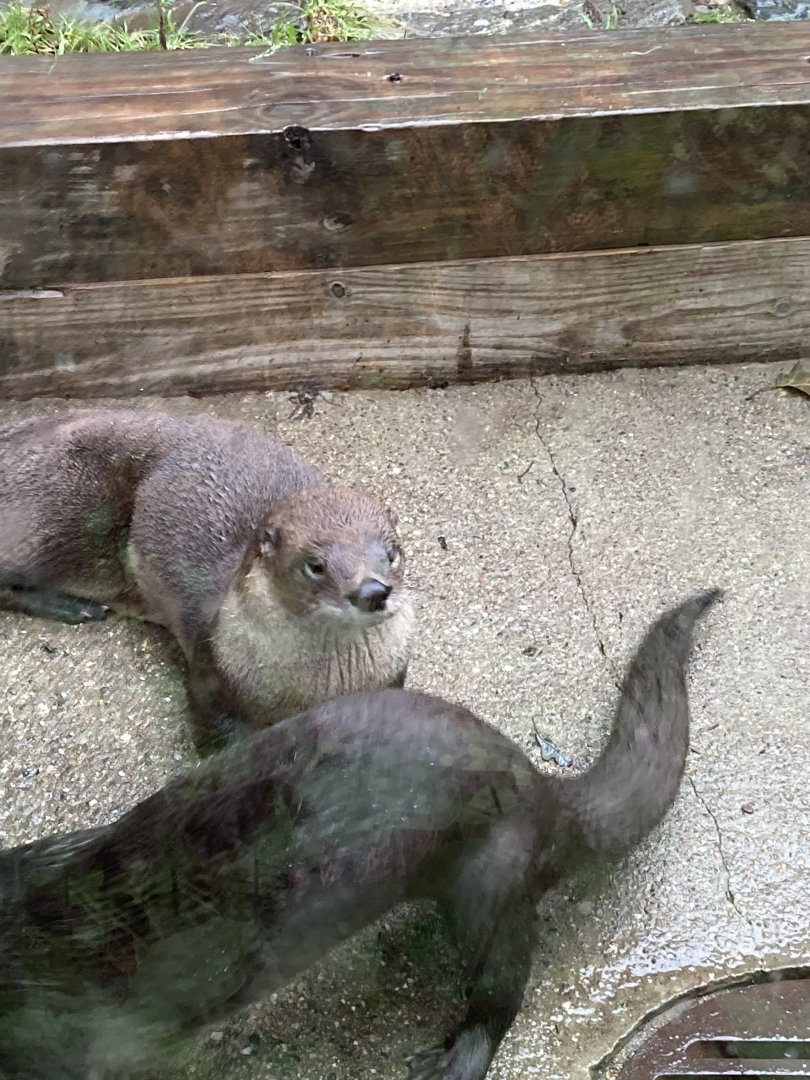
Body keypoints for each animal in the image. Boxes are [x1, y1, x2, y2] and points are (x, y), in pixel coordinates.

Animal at [0, 409, 413, 750]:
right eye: (316, 565)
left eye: (392, 553)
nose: (372, 590)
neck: (313, 692)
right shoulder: (209, 669)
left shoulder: (391, 677)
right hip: (61, 521)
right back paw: (73, 607)